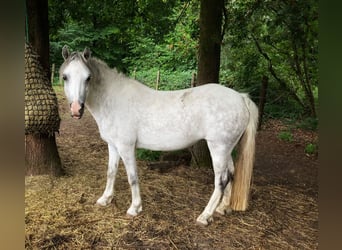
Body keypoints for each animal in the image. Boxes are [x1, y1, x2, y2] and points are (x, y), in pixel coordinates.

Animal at [59, 46, 256, 226]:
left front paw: (134, 208)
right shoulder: (113, 146)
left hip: (218, 148)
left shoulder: (126, 147)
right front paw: (105, 199)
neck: (113, 100)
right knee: (231, 173)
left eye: (88, 77)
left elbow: (132, 177)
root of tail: (240, 97)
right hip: (226, 149)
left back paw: (205, 216)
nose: (76, 109)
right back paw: (223, 208)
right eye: (65, 77)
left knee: (221, 180)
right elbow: (111, 172)